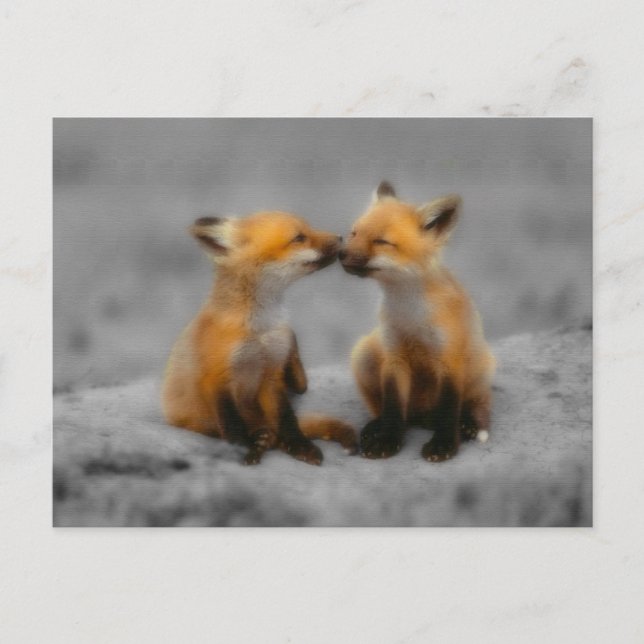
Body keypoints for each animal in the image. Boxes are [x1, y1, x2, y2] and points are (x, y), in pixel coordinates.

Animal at [162, 210, 357, 466]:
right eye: (299, 238)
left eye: (309, 228)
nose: (341, 237)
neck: (260, 330)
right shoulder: (216, 379)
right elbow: (232, 423)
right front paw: (242, 450)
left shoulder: (271, 372)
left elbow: (287, 418)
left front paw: (300, 446)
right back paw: (261, 438)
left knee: (279, 424)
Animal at [339, 181, 495, 462]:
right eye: (354, 233)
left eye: (381, 241)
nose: (338, 252)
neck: (411, 314)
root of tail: (423, 414)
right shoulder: (393, 356)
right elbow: (392, 408)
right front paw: (388, 440)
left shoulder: (449, 359)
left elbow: (448, 409)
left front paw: (444, 445)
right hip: (364, 353)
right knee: (396, 412)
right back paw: (376, 425)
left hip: (481, 365)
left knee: (477, 403)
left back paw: (468, 423)